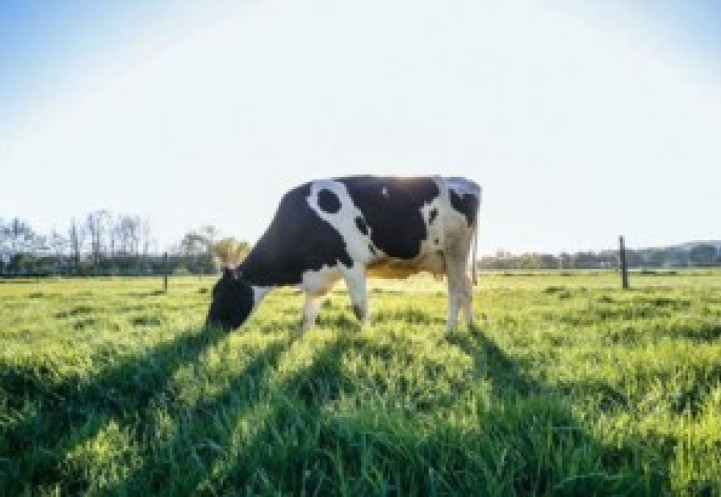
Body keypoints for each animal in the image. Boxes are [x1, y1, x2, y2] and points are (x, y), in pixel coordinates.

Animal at [205, 175, 481, 332]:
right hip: (447, 258)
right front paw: (302, 338)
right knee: (467, 290)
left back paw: (449, 331)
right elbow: (307, 315)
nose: (209, 329)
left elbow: (360, 307)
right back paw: (469, 327)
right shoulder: (319, 275)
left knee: (456, 293)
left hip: (455, 250)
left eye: (221, 295)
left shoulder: (352, 263)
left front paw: (365, 335)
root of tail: (466, 181)